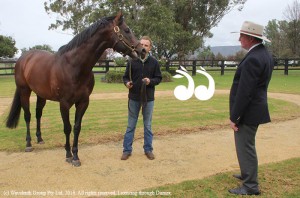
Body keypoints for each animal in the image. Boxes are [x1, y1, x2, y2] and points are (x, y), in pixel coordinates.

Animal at [4, 12, 145, 167]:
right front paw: (68, 154)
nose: (142, 50)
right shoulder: (64, 104)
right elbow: (67, 128)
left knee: (38, 114)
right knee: (28, 115)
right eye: (127, 30)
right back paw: (28, 144)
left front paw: (76, 155)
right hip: (24, 91)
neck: (74, 66)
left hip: (41, 94)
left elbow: (77, 127)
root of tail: (23, 59)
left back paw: (40, 139)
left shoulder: (83, 102)